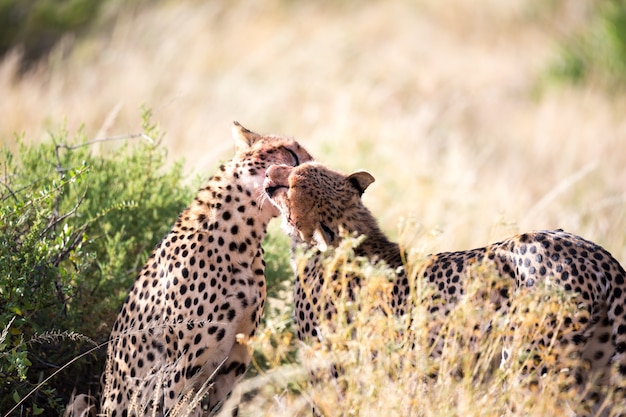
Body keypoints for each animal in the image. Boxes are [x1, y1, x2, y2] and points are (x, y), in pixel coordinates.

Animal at [260, 161, 624, 412]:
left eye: (293, 181)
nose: (271, 172)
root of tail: (595, 251)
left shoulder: (330, 369)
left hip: (527, 366)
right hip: (597, 377)